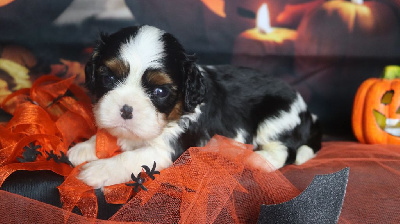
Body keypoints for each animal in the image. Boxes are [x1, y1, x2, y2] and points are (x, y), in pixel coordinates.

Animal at [66, 25, 322, 188]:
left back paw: (256, 159)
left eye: (160, 92)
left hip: (276, 117)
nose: (126, 109)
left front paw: (98, 170)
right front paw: (85, 147)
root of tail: (309, 114)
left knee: (284, 150)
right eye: (108, 78)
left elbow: (131, 157)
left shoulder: (168, 150)